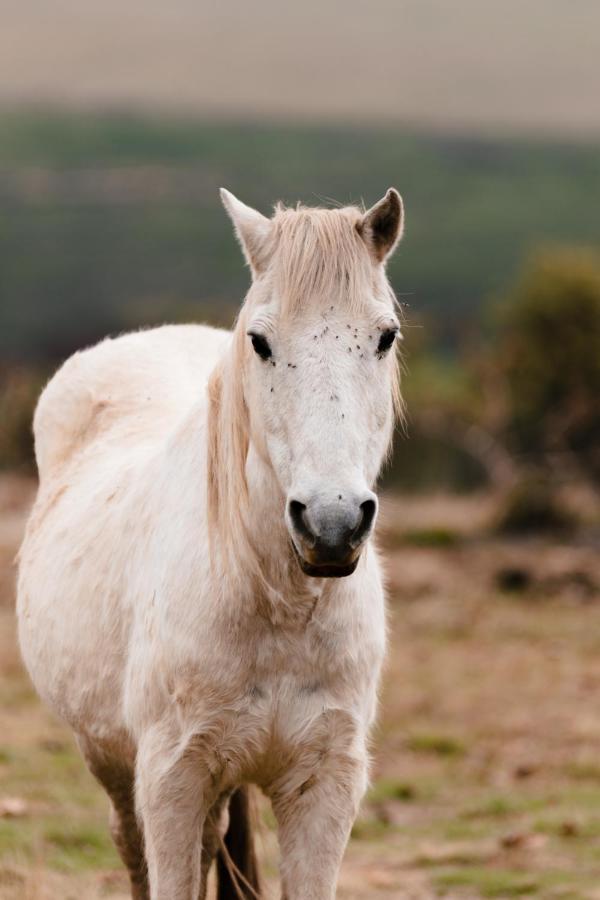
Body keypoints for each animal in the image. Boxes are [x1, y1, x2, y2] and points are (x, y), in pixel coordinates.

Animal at [16, 186, 406, 896]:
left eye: (384, 337)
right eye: (260, 341)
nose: (331, 524)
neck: (275, 604)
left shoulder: (325, 786)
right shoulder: (173, 780)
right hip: (110, 758)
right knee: (135, 847)